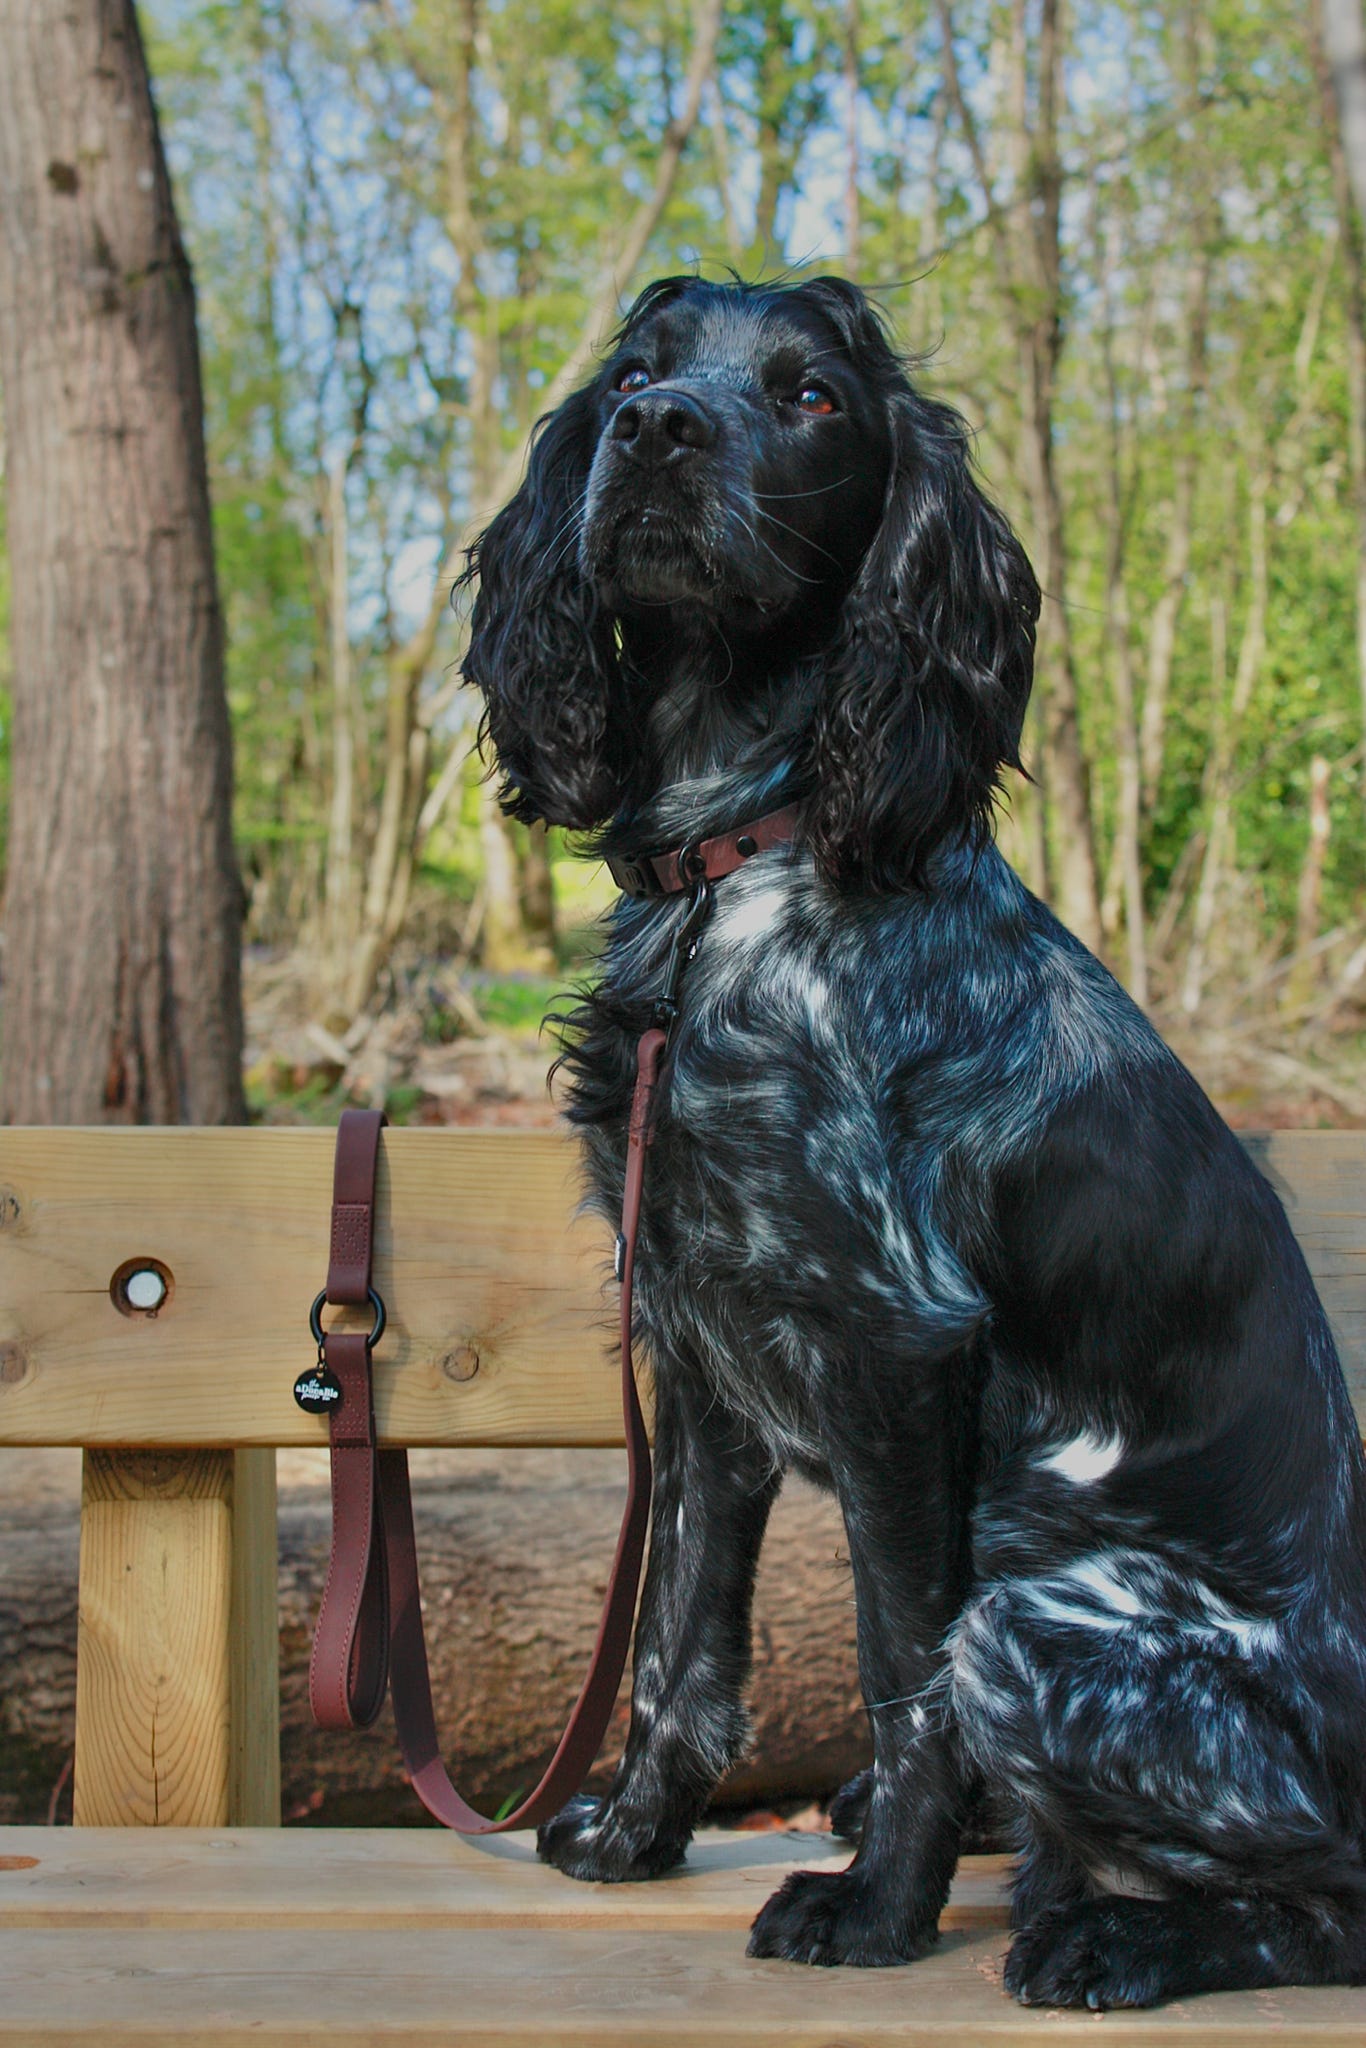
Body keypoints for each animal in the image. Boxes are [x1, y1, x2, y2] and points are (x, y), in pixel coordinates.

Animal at [461, 273, 1366, 2008]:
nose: (654, 434)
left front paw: (876, 1910)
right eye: (634, 372)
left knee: (1319, 1898)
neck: (735, 876)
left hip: (1040, 1614)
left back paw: (1103, 1940)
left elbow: (897, 1674)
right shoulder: (698, 1352)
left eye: (811, 395)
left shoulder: (893, 1348)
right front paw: (636, 1834)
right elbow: (679, 1637)